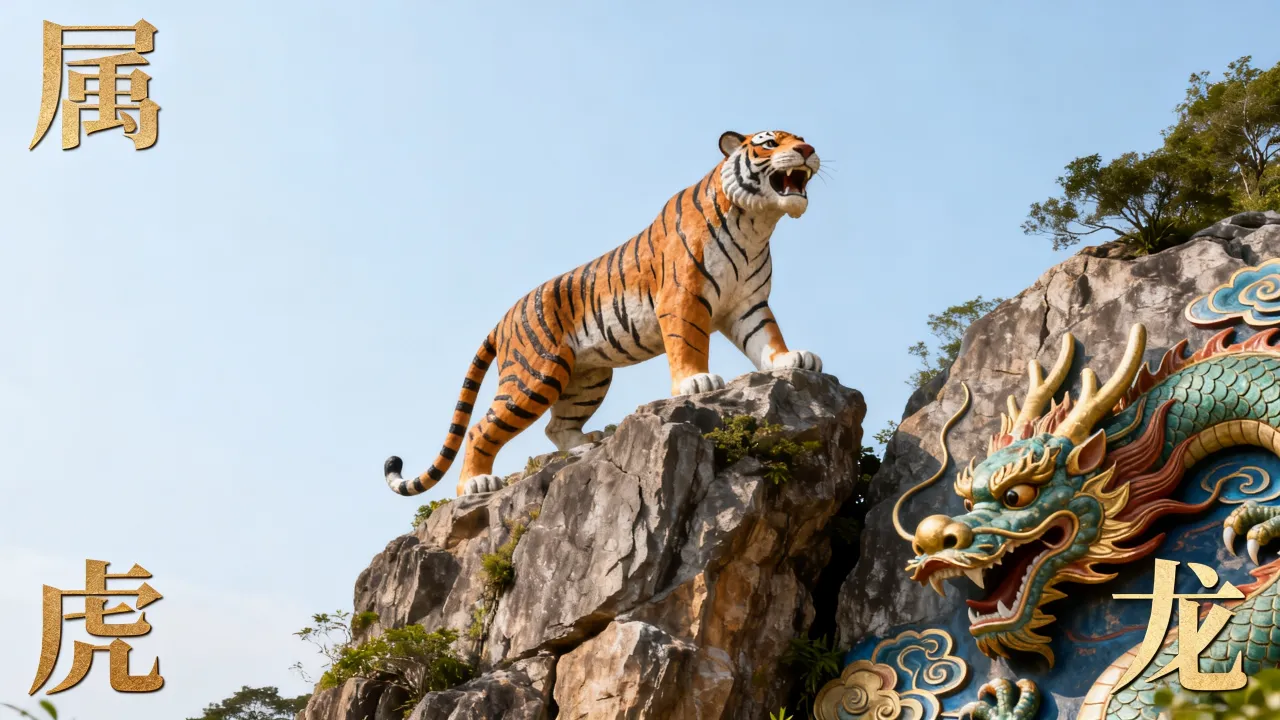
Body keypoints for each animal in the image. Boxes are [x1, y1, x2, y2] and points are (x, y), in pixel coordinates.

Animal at [385, 130, 824, 497]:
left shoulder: (749, 303)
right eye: (769, 143)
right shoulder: (683, 298)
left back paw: (585, 445)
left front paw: (791, 359)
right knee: (480, 429)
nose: (807, 150)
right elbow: (689, 345)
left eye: (800, 138)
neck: (756, 223)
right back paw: (477, 484)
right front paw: (696, 382)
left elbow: (767, 338)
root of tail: (503, 318)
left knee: (556, 426)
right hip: (535, 375)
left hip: (587, 378)